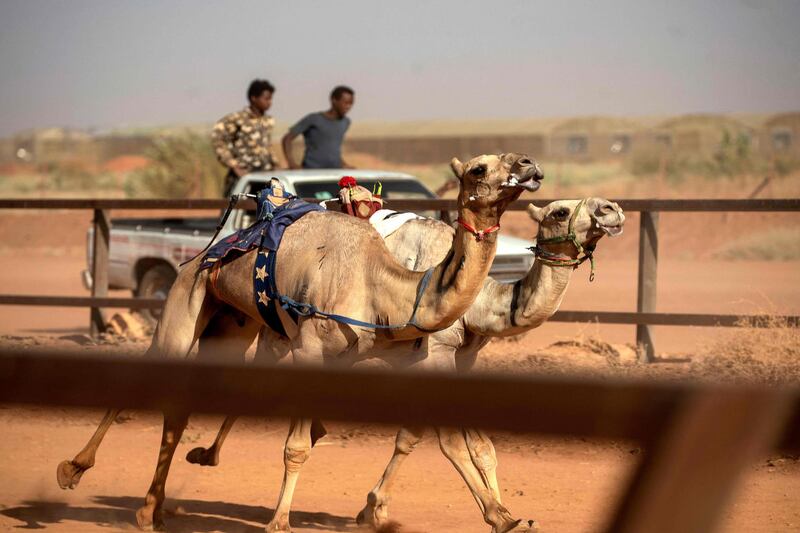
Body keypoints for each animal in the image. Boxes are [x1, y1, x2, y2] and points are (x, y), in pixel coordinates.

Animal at [56, 152, 544, 528]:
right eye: (479, 168)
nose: (529, 165)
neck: (380, 280)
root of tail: (208, 249)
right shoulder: (314, 348)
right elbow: (297, 447)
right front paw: (279, 522)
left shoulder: (379, 355)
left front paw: (504, 516)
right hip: (184, 300)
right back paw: (75, 471)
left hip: (232, 324)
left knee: (183, 406)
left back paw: (153, 509)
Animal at [183, 195, 624, 532]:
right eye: (560, 211)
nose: (612, 209)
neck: (475, 300)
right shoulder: (434, 354)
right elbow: (445, 442)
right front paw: (500, 516)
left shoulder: (458, 359)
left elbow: (467, 444)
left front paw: (374, 508)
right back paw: (208, 454)